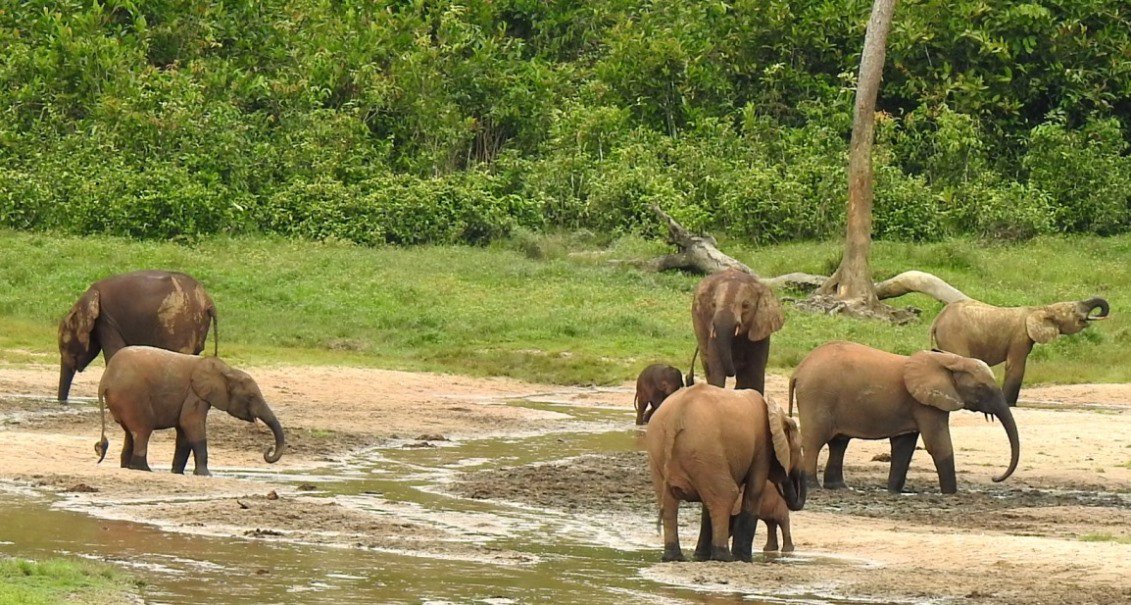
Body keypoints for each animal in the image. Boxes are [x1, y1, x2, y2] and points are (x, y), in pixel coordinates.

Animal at [58, 270, 218, 402]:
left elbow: (114, 352)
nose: (62, 402)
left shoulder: (106, 321)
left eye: (64, 346)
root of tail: (207, 300)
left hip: (179, 322)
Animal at [95, 346, 285, 476]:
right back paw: (144, 469)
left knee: (130, 432)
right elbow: (191, 424)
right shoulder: (195, 394)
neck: (227, 371)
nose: (267, 451)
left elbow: (184, 434)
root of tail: (105, 380)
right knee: (142, 430)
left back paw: (129, 467)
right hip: (132, 396)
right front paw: (206, 475)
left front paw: (177, 473)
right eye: (251, 397)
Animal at [645, 383, 806, 562]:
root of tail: (677, 414)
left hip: (660, 447)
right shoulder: (762, 447)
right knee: (725, 496)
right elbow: (754, 492)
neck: (778, 415)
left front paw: (701, 557)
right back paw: (724, 557)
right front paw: (744, 559)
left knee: (669, 503)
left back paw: (674, 557)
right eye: (800, 449)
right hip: (706, 447)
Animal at [788, 341, 1020, 494]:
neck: (949, 360)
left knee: (839, 443)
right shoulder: (926, 404)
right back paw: (813, 486)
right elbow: (938, 444)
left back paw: (839, 488)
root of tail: (798, 370)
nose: (995, 478)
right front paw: (951, 494)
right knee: (815, 441)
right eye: (981, 388)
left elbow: (904, 446)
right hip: (817, 396)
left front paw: (893, 492)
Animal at [930, 296, 1109, 406]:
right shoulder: (1020, 337)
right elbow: (1016, 366)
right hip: (954, 336)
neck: (1040, 309)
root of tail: (936, 320)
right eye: (1073, 310)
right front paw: (1009, 404)